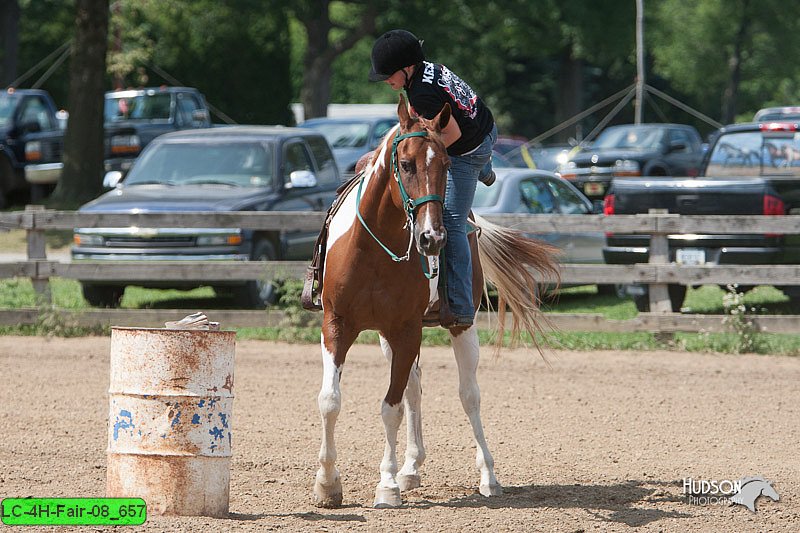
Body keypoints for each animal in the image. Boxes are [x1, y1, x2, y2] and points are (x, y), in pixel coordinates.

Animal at [310, 94, 556, 508]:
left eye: (446, 165)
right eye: (406, 164)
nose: (431, 239)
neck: (374, 249)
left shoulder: (406, 329)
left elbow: (390, 408)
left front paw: (386, 485)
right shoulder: (338, 325)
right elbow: (331, 400)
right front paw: (328, 484)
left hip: (460, 328)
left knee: (469, 395)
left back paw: (488, 477)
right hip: (389, 337)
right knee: (415, 388)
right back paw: (411, 468)